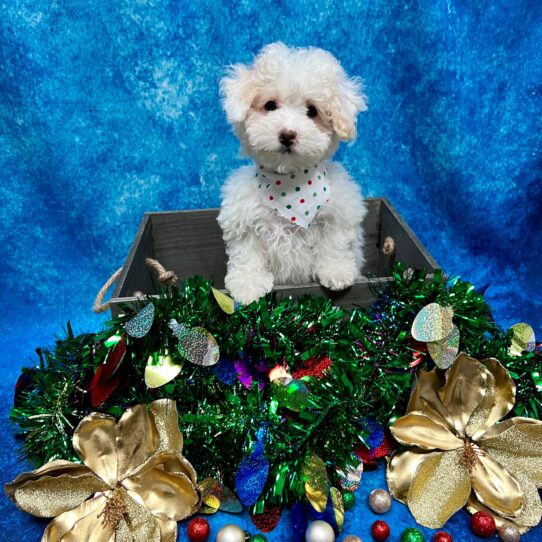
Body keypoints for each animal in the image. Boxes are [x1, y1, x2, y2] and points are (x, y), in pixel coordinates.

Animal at [218, 42, 370, 306]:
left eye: (312, 111)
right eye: (270, 105)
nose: (287, 134)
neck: (289, 185)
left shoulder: (340, 211)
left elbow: (335, 242)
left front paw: (336, 271)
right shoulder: (243, 218)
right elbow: (247, 252)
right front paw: (248, 284)